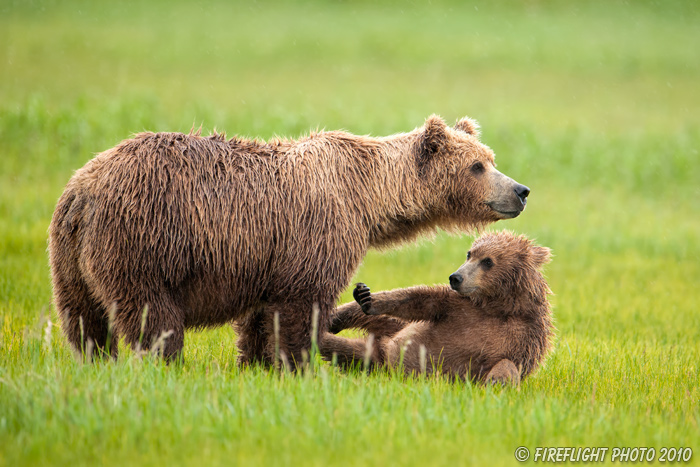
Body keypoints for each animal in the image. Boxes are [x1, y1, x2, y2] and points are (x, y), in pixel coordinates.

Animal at [47, 116, 532, 366]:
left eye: (489, 159)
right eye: (477, 166)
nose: (520, 190)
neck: (368, 199)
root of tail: (84, 188)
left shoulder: (264, 259)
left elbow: (259, 319)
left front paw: (256, 364)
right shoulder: (315, 234)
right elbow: (301, 308)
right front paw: (299, 363)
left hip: (69, 255)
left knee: (84, 319)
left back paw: (96, 361)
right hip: (145, 241)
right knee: (154, 316)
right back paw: (165, 363)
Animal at [320, 232, 556, 386]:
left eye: (488, 261)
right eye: (469, 254)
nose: (456, 277)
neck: (497, 306)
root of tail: (386, 357)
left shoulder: (527, 335)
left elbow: (510, 363)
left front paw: (497, 382)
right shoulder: (458, 307)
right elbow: (418, 300)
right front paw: (366, 298)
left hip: (374, 359)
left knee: (347, 350)